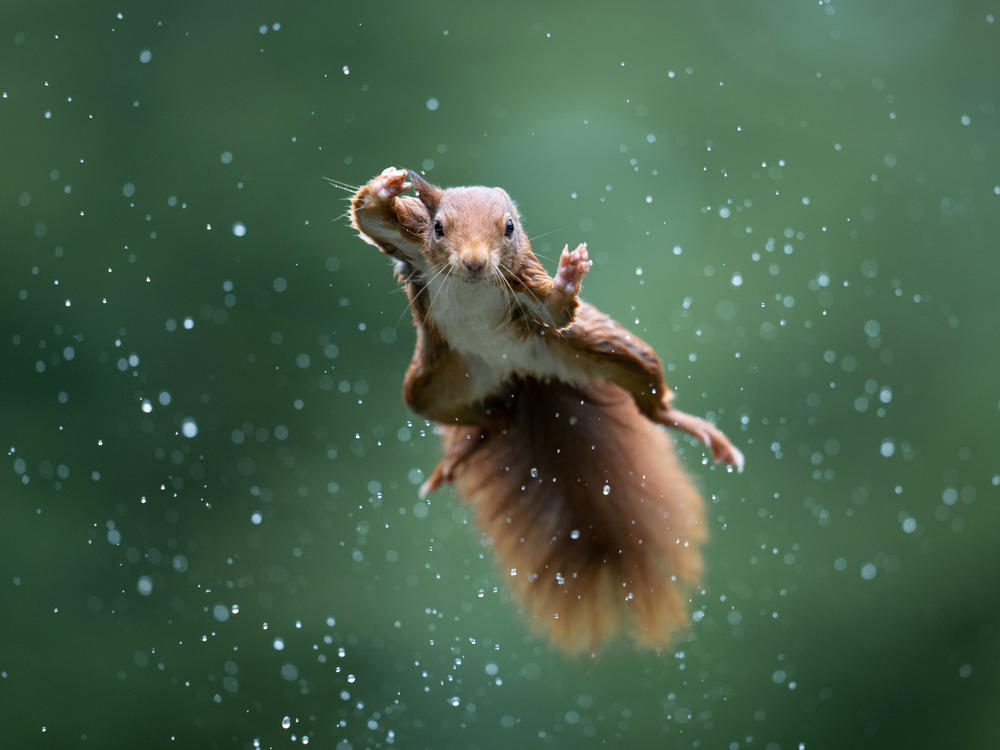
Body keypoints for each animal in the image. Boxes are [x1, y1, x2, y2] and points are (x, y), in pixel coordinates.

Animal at [352, 167, 744, 648]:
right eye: (439, 227)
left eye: (509, 228)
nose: (474, 264)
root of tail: (521, 374)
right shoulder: (412, 243)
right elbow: (369, 216)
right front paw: (386, 186)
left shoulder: (524, 284)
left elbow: (557, 310)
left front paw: (569, 274)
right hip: (434, 385)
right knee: (492, 419)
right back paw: (461, 454)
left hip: (607, 350)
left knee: (650, 402)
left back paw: (701, 431)